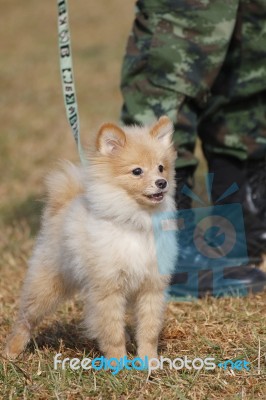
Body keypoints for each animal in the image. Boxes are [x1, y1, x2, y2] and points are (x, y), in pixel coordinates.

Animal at [4, 116, 178, 362]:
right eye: (137, 171)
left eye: (161, 167)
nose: (162, 182)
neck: (135, 222)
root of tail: (65, 203)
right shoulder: (108, 289)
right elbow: (112, 331)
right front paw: (119, 363)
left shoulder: (151, 287)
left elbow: (149, 330)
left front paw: (149, 362)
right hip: (48, 284)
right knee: (26, 318)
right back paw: (12, 350)